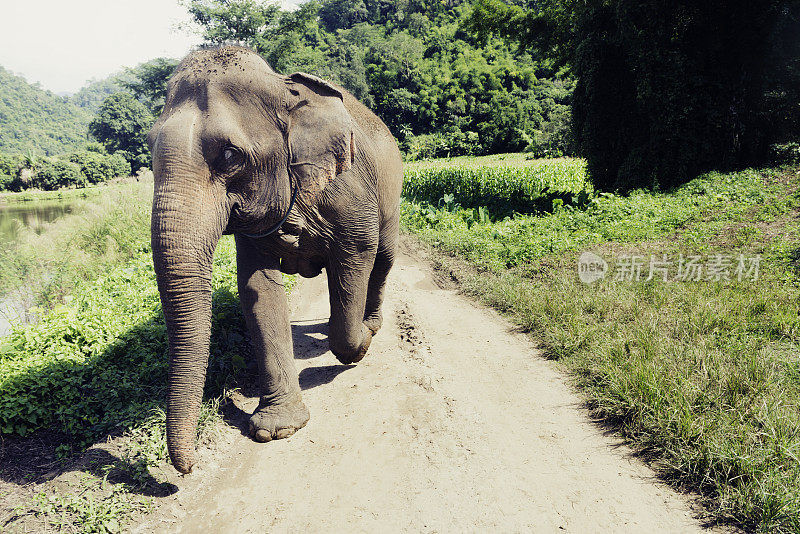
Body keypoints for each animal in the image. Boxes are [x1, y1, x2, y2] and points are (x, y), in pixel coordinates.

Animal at [148, 45, 404, 474]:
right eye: (149, 150)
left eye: (230, 155)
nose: (188, 466)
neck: (281, 87)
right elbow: (256, 287)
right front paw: (277, 429)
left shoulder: (350, 191)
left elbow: (357, 253)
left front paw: (361, 342)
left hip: (392, 187)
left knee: (383, 255)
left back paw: (371, 324)